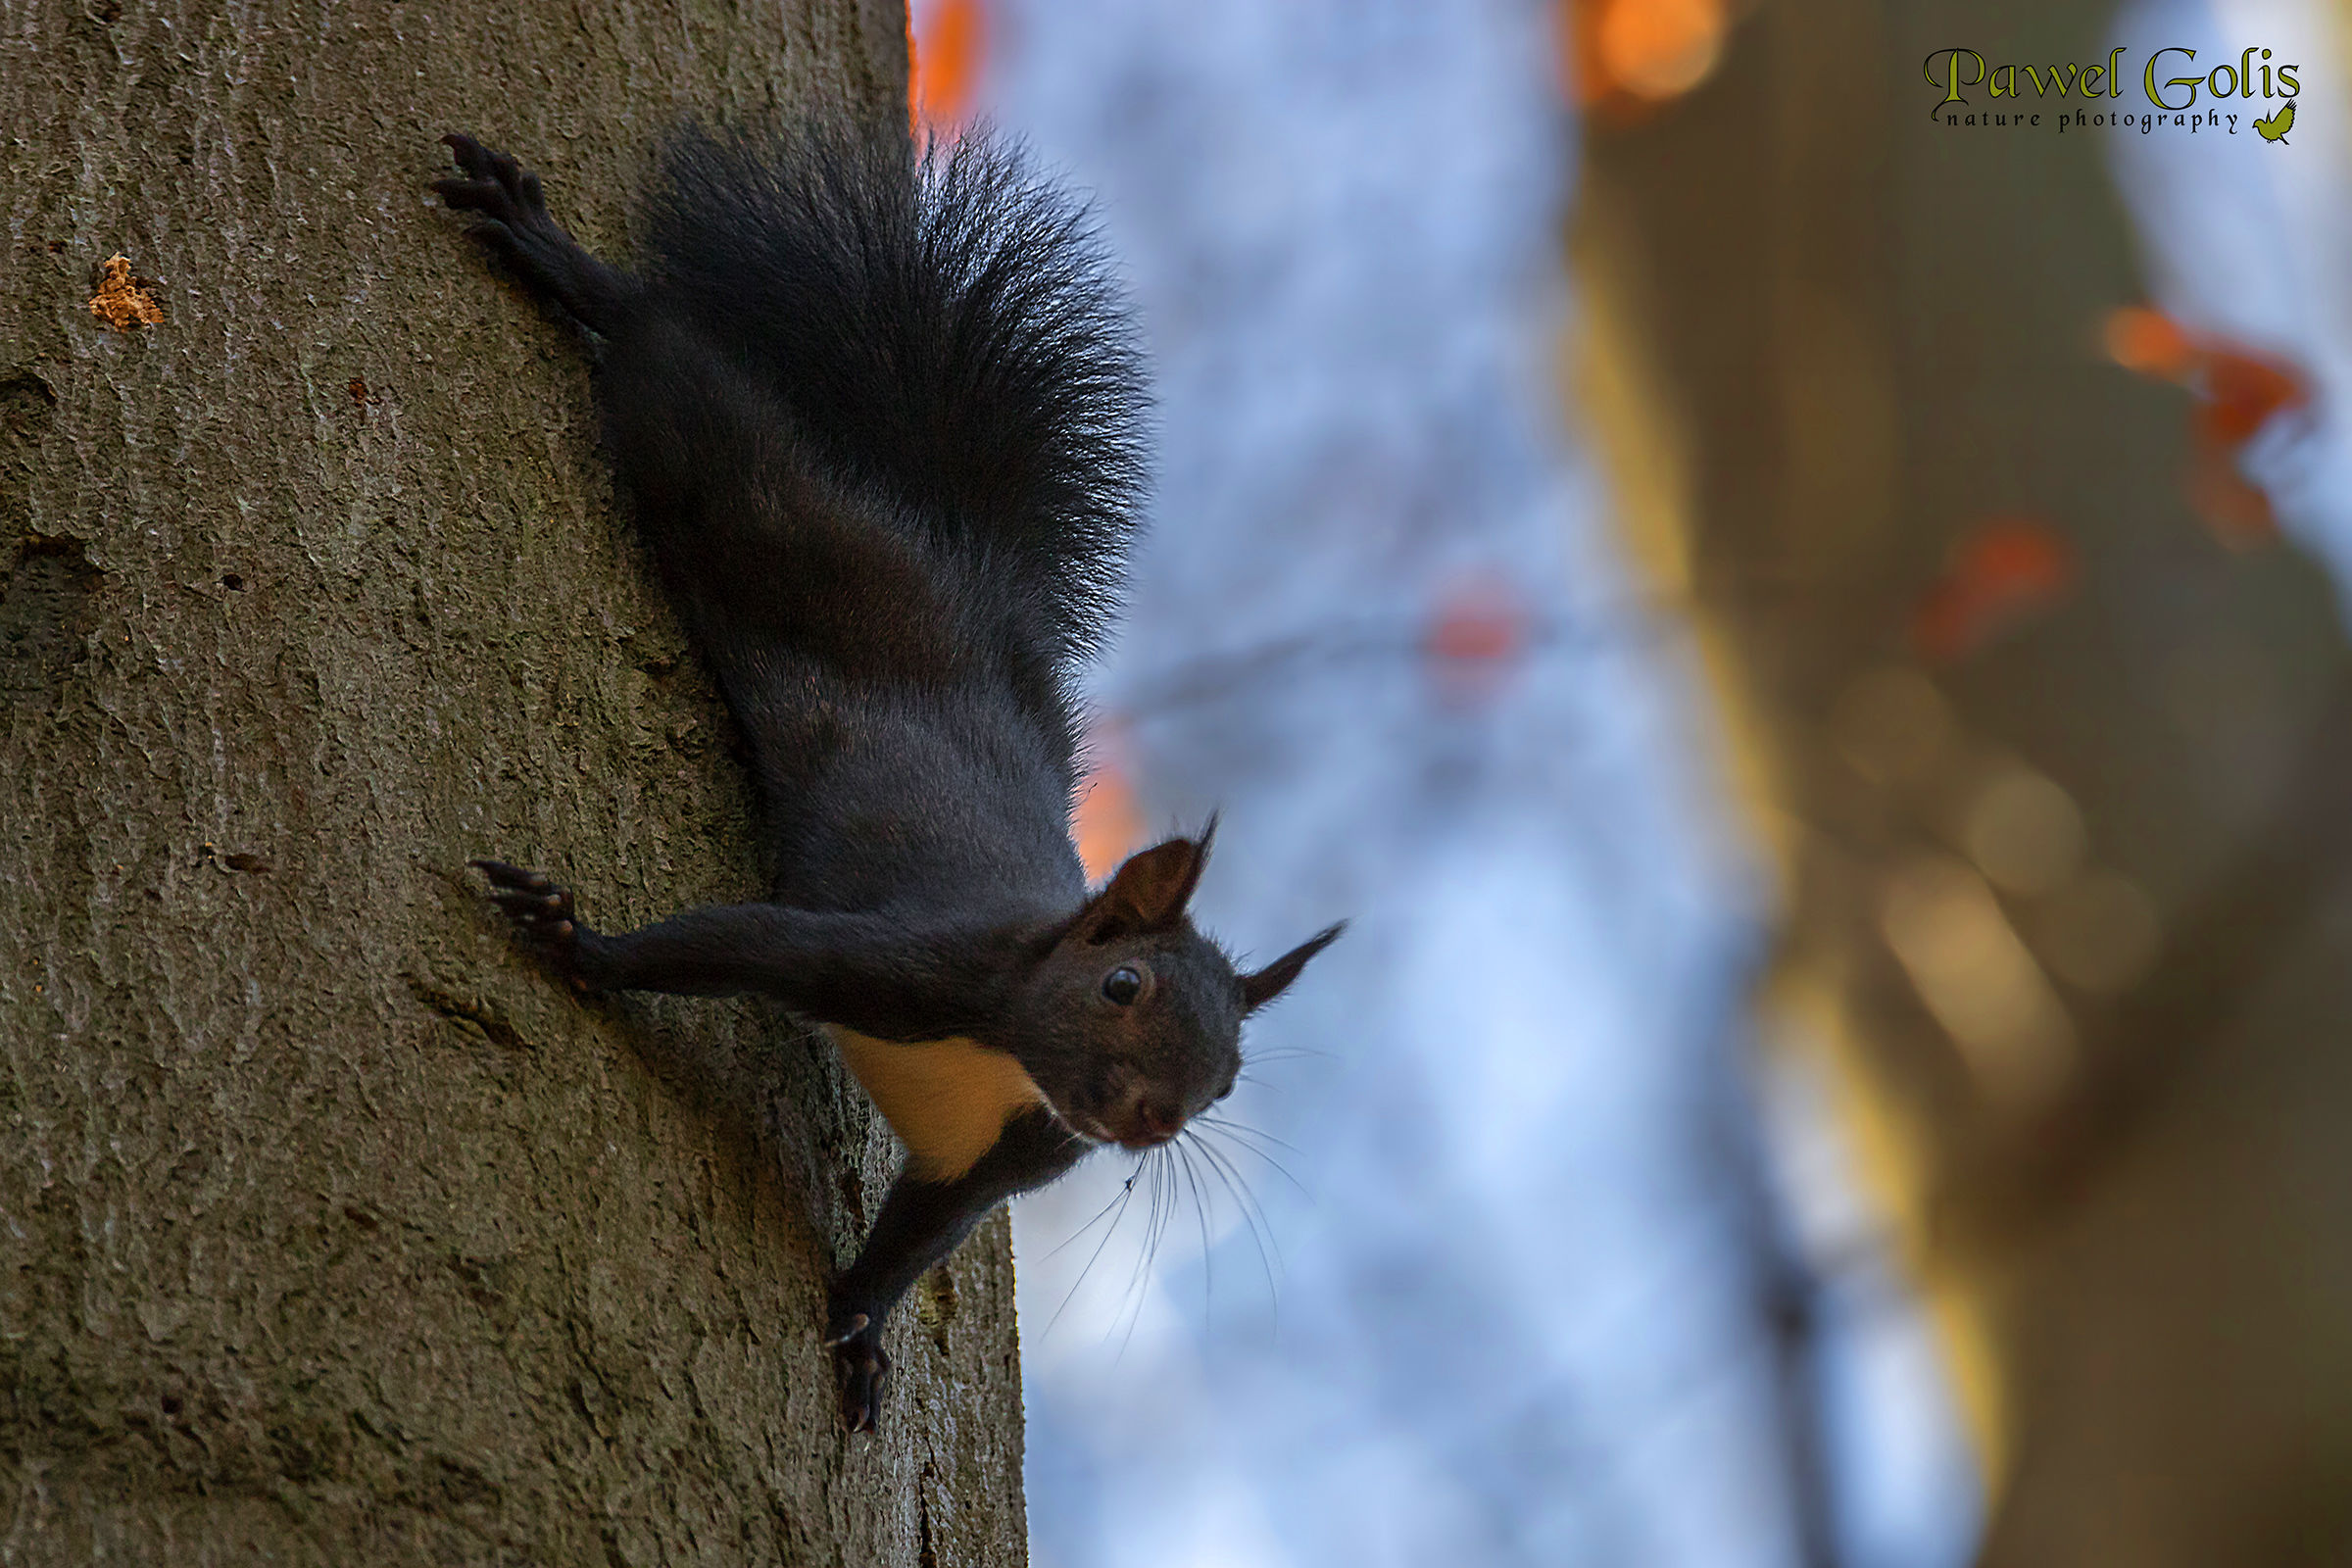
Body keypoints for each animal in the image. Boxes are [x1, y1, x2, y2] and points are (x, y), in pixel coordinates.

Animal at [433, 118, 1342, 1432]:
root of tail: (947, 552)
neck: (1010, 1054)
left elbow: (916, 1241)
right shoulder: (907, 962)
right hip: (770, 516)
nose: (1154, 1117)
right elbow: (732, 943)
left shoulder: (1000, 1158)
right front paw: (581, 942)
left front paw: (858, 1330)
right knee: (684, 378)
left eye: (1228, 1084)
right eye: (1122, 984)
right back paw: (562, 259)